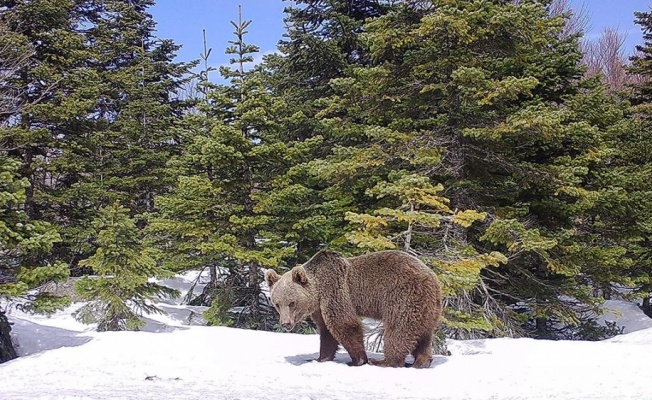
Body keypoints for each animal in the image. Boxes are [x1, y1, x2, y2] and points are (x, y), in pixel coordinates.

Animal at [264, 250, 444, 368]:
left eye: (292, 302)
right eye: (277, 303)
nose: (286, 324)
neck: (318, 293)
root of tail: (433, 279)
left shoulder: (335, 290)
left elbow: (344, 324)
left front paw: (358, 360)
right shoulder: (320, 308)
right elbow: (327, 332)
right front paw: (320, 358)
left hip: (403, 297)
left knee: (398, 329)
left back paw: (385, 361)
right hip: (427, 309)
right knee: (423, 335)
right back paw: (422, 361)